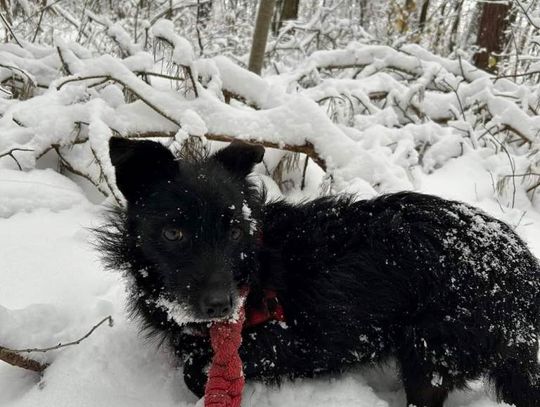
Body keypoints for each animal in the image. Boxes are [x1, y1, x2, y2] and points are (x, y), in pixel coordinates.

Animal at [97, 138, 540, 407]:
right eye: (173, 232)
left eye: (235, 229)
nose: (221, 306)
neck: (255, 263)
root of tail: (523, 273)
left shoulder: (282, 343)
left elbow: (198, 369)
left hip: (431, 352)